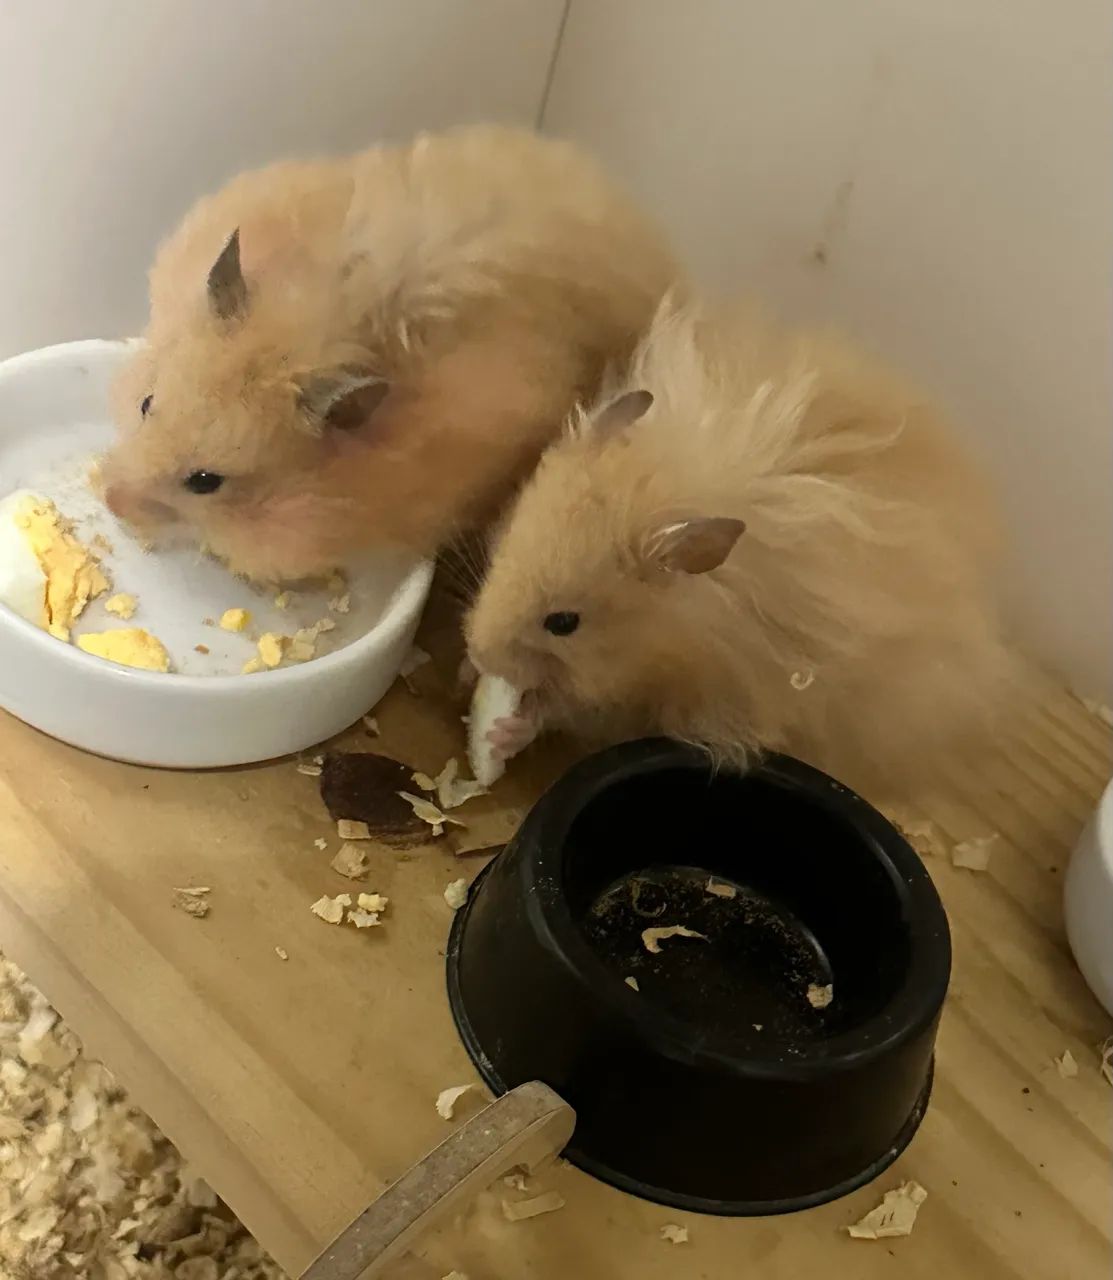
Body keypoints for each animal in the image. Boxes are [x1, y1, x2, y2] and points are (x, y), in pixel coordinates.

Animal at [464, 299, 1013, 801]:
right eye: (501, 549)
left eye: (563, 623)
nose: (475, 648)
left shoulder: (646, 691)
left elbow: (566, 707)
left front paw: (502, 729)